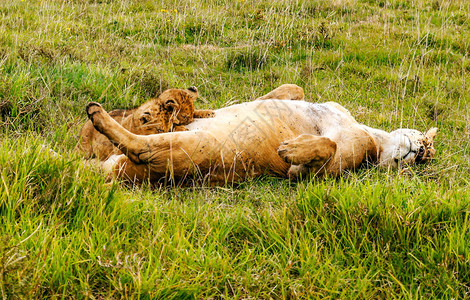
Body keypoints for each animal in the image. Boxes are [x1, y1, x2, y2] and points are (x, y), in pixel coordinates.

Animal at [78, 86, 214, 161]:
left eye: (190, 117)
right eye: (159, 130)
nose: (189, 121)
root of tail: (85, 125)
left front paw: (207, 113)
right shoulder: (117, 150)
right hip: (84, 148)